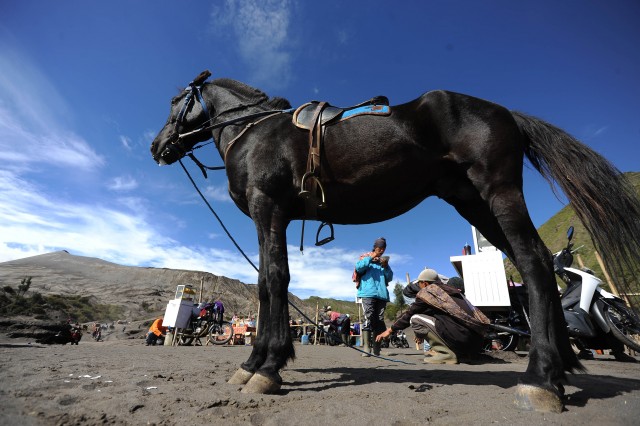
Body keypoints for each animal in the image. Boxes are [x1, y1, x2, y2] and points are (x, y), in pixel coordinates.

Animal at [151, 70, 640, 412]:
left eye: (176, 101)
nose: (157, 146)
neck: (254, 130)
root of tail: (506, 113)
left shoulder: (268, 209)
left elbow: (272, 280)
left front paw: (266, 367)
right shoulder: (276, 217)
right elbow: (272, 283)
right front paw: (256, 362)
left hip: (499, 193)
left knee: (536, 262)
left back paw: (541, 377)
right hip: (474, 202)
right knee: (534, 262)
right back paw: (562, 366)